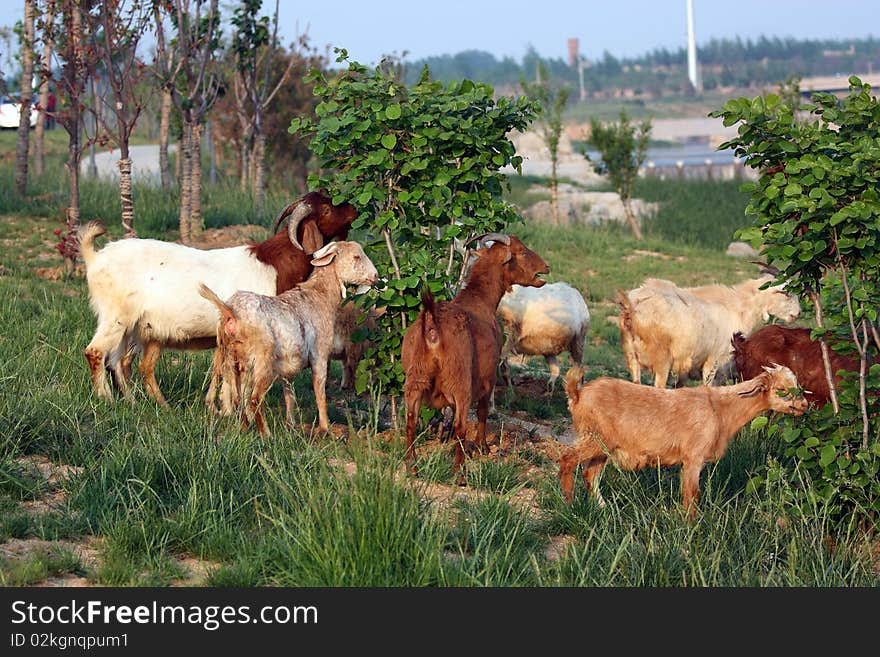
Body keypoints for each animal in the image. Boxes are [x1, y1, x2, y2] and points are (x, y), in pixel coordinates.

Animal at [199, 241, 378, 436]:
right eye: (356, 257)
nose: (376, 276)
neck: (319, 296)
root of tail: (230, 312)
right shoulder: (320, 355)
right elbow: (320, 392)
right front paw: (325, 428)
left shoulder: (288, 364)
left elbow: (289, 395)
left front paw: (291, 425)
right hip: (262, 360)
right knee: (255, 398)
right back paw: (266, 434)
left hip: (234, 360)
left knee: (240, 398)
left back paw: (246, 428)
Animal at [400, 234, 552, 482]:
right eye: (521, 251)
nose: (545, 267)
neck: (479, 299)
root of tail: (432, 324)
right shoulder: (488, 375)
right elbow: (482, 411)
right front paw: (483, 447)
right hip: (460, 381)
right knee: (461, 424)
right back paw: (459, 475)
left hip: (415, 378)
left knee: (410, 420)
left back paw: (412, 467)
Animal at [560, 362, 808, 516]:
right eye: (781, 389)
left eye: (798, 386)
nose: (805, 405)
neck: (720, 409)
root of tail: (577, 394)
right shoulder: (693, 458)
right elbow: (692, 495)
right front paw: (691, 528)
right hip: (594, 438)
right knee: (567, 460)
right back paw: (570, 506)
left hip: (602, 447)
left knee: (590, 474)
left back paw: (602, 507)